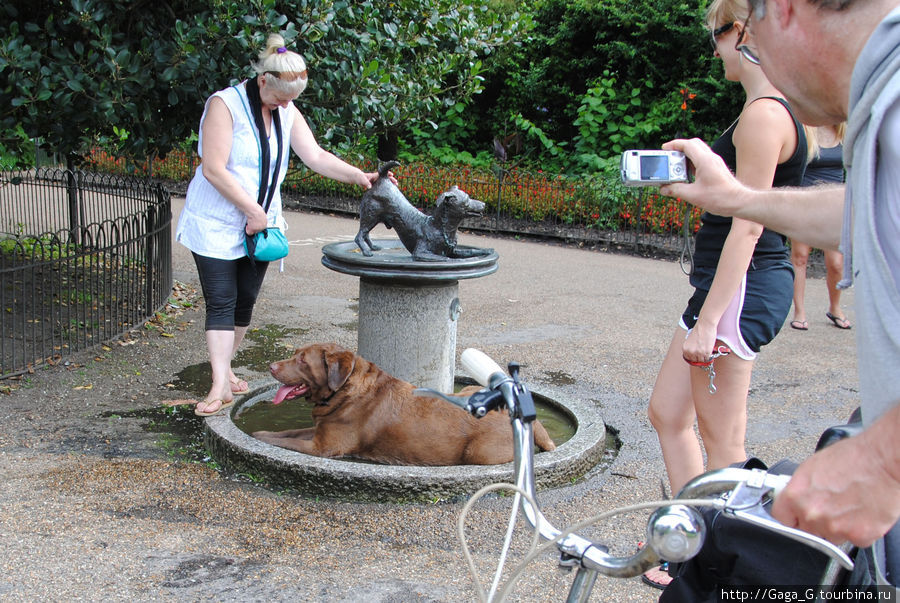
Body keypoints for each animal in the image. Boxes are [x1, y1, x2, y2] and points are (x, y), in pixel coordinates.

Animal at [253, 342, 556, 464]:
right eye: (294, 353)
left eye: (303, 360)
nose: (271, 366)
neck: (343, 391)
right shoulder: (319, 430)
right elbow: (285, 433)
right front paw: (260, 431)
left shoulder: (324, 446)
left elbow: (281, 441)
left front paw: (259, 437)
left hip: (479, 453)